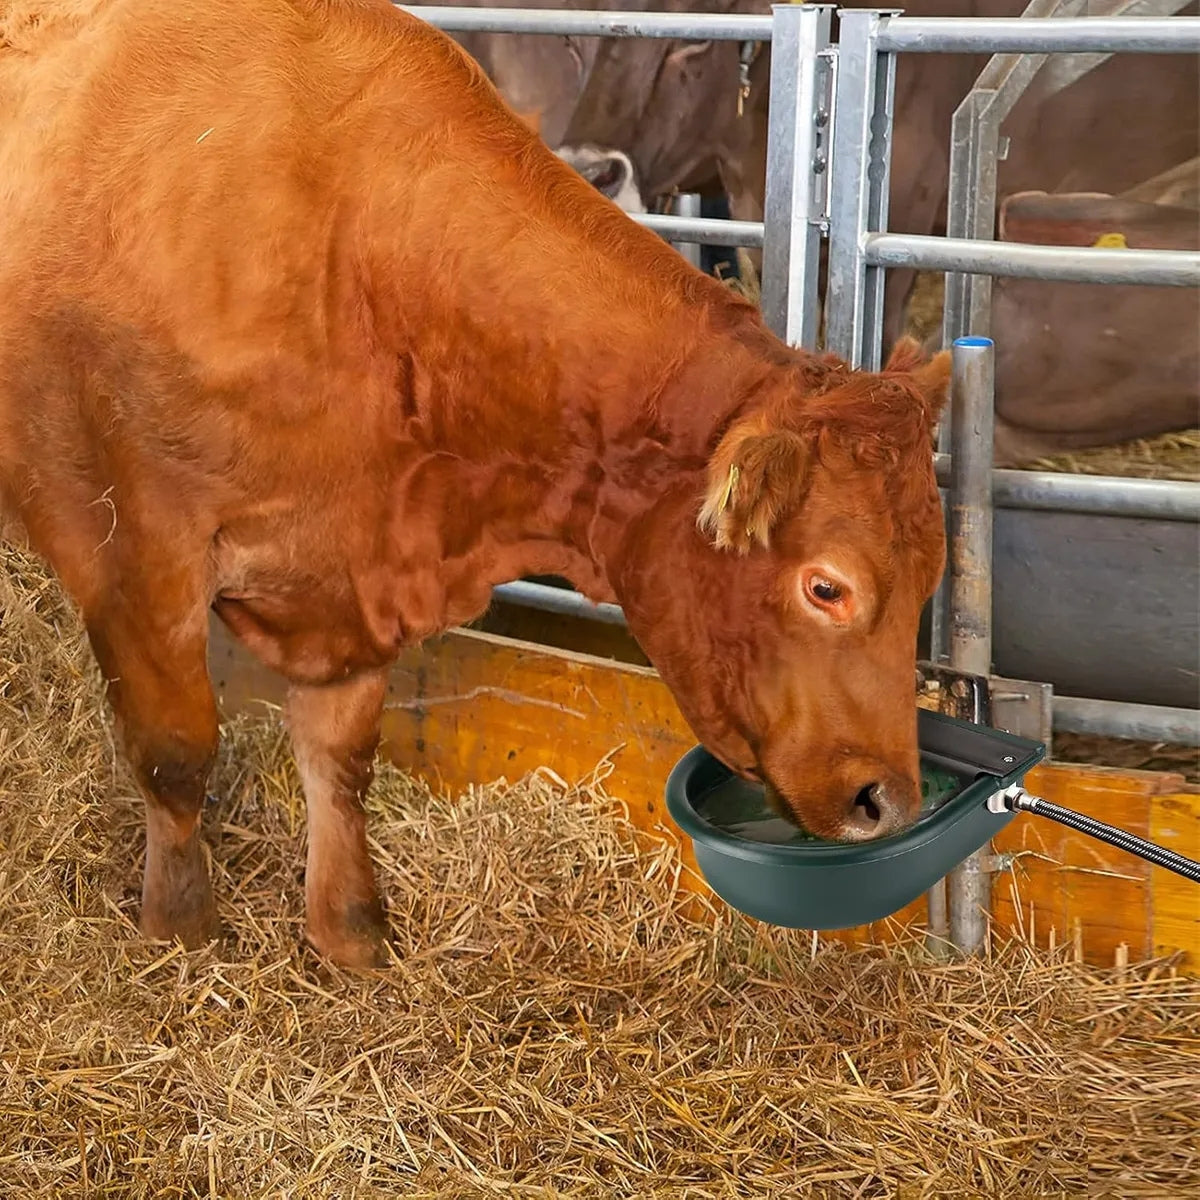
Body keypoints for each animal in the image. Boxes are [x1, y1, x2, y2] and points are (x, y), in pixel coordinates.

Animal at [1, 0, 952, 969]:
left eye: (931, 579)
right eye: (826, 587)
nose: (888, 801)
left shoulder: (353, 571)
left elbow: (340, 756)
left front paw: (350, 934)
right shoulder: (137, 553)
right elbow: (177, 751)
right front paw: (180, 931)